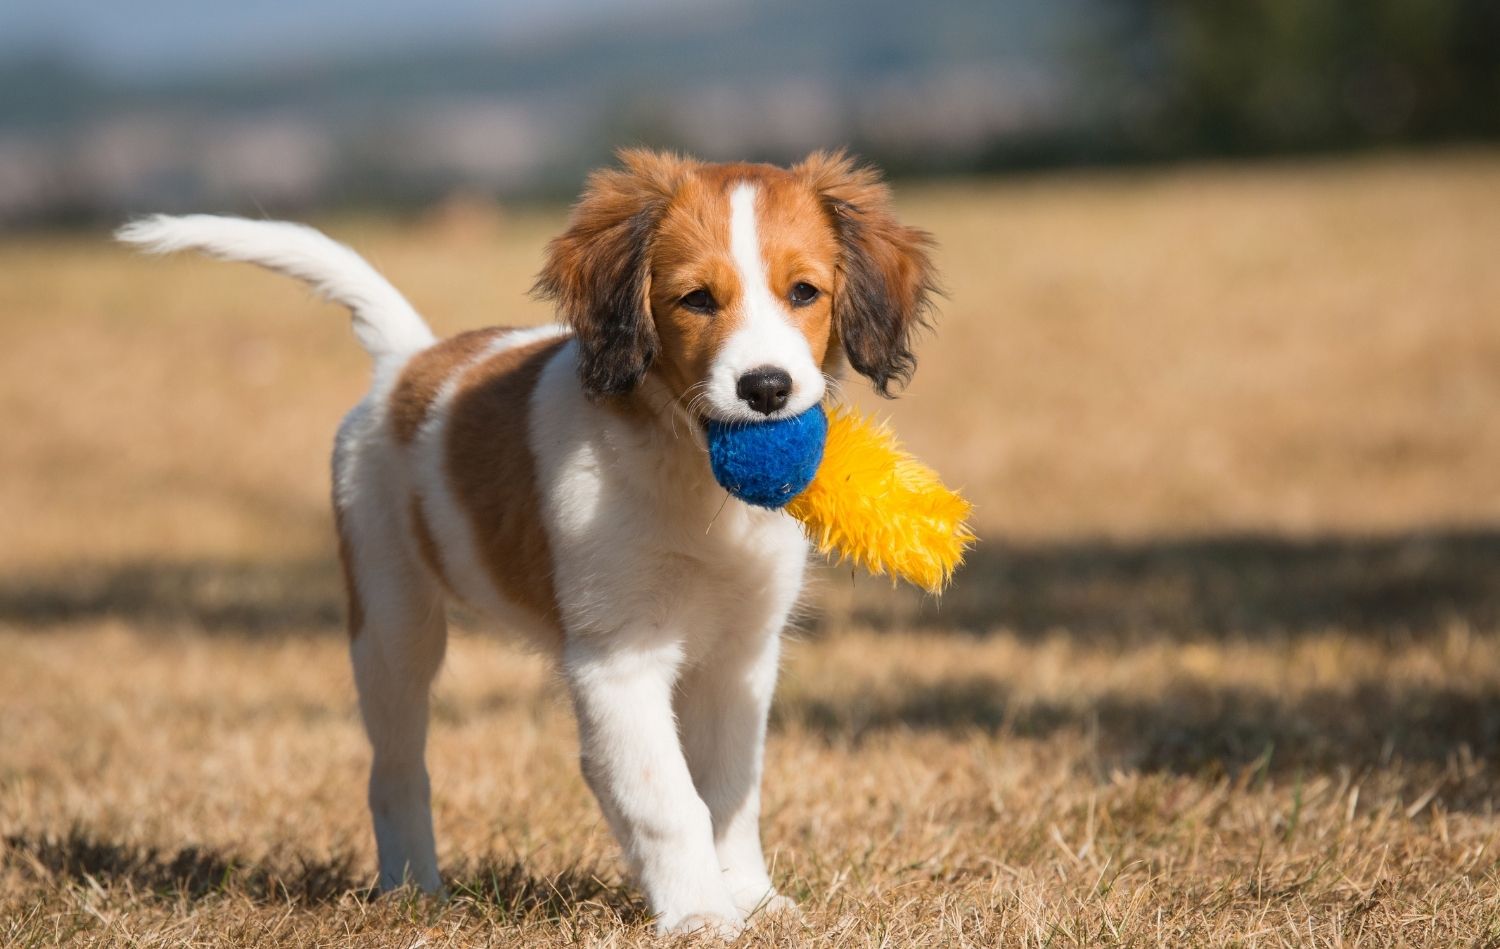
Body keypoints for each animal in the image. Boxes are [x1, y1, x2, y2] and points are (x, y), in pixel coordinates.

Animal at [120, 148, 936, 935]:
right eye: (697, 299)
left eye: (804, 292)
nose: (766, 388)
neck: (688, 473)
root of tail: (408, 362)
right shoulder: (618, 658)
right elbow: (668, 798)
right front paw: (700, 913)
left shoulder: (741, 655)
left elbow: (730, 789)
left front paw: (754, 900)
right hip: (390, 622)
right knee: (395, 769)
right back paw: (413, 890)